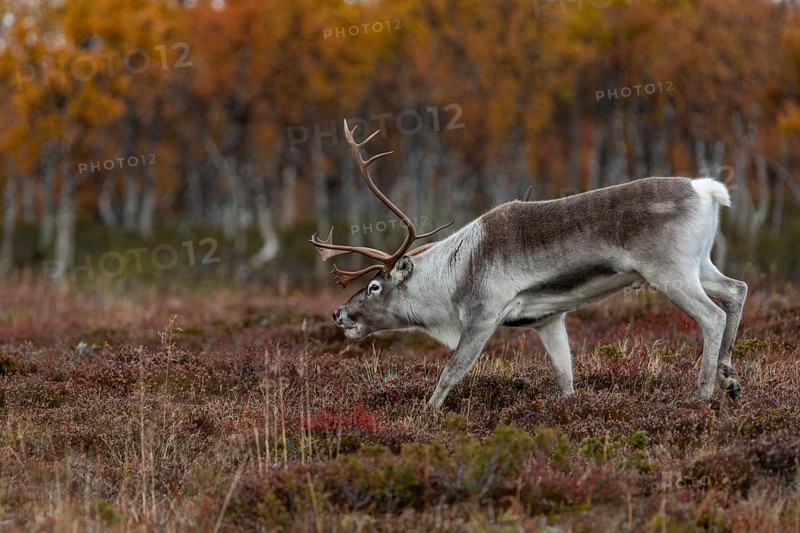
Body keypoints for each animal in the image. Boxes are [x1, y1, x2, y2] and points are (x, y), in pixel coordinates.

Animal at [311, 120, 748, 410]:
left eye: (374, 287)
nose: (338, 312)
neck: (452, 276)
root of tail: (706, 190)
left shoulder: (483, 315)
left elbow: (449, 373)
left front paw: (426, 416)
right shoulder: (547, 320)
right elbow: (564, 376)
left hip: (669, 272)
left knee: (712, 315)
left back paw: (703, 393)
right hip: (699, 265)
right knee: (736, 289)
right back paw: (729, 379)